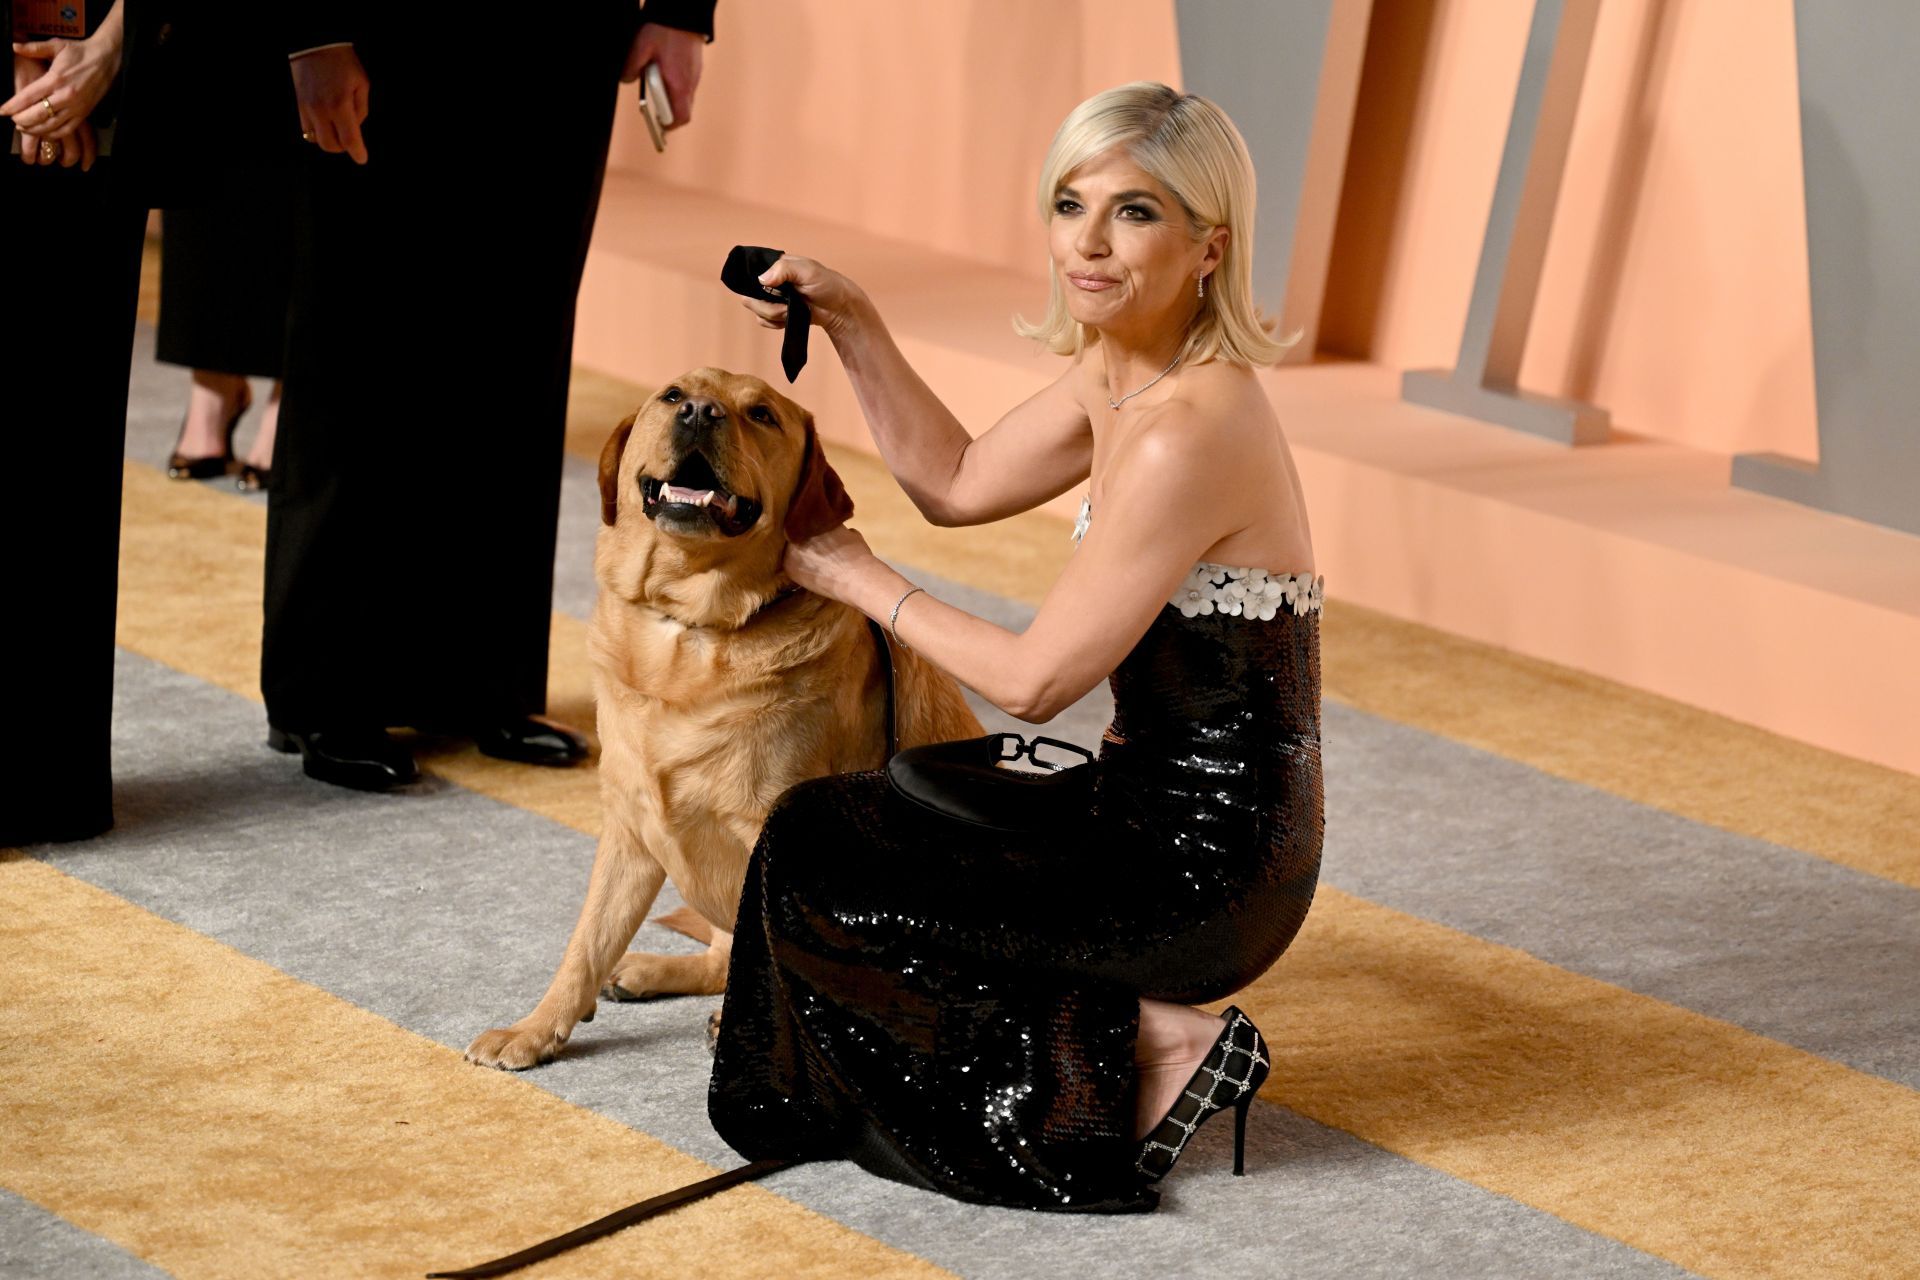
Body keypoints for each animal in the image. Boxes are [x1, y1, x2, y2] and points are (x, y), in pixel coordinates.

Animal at [460, 364, 975, 1066]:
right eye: (673, 395)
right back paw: (644, 970)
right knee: (714, 956)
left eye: (762, 414)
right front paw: (535, 1030)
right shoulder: (628, 826)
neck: (692, 624)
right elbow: (585, 945)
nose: (701, 413)